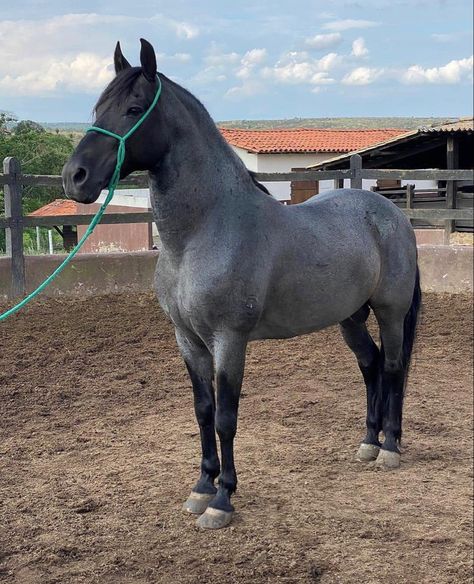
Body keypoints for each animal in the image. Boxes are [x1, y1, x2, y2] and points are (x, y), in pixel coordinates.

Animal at [63, 36, 422, 528]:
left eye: (134, 108)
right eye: (98, 108)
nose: (74, 177)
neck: (202, 233)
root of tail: (392, 216)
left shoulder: (229, 339)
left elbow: (226, 417)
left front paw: (222, 500)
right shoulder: (188, 339)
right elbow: (202, 411)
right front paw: (200, 487)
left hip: (390, 311)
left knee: (392, 367)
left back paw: (389, 447)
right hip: (349, 316)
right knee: (370, 365)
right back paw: (368, 443)